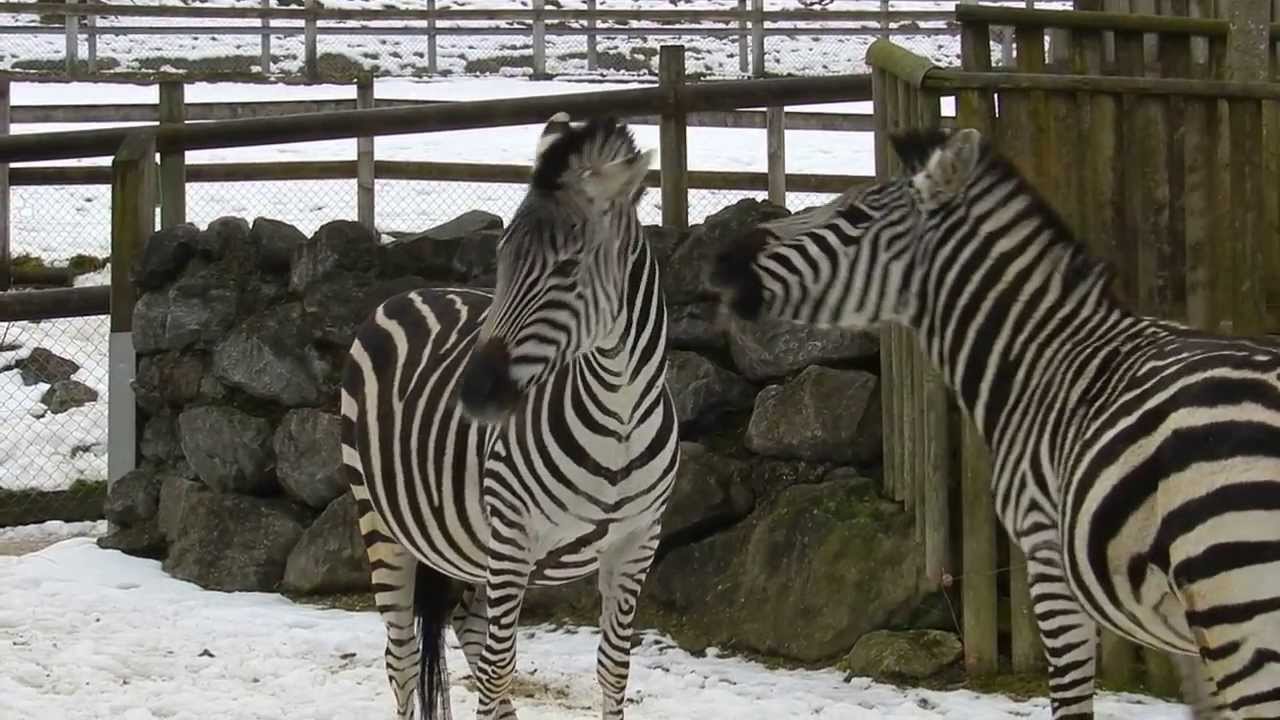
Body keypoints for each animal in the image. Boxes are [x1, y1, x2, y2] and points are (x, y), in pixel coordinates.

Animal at [340, 113, 680, 720]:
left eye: (568, 266)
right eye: (501, 260)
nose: (475, 393)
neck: (618, 413)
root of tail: (410, 292)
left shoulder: (637, 543)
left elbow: (612, 670)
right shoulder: (513, 538)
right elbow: (500, 670)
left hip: (467, 546)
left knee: (466, 631)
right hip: (380, 517)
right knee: (402, 659)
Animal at [709, 126, 1280, 719]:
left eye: (855, 216)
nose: (722, 258)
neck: (1044, 361)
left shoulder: (1047, 559)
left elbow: (1070, 703)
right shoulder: (1182, 635)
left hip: (1235, 600)